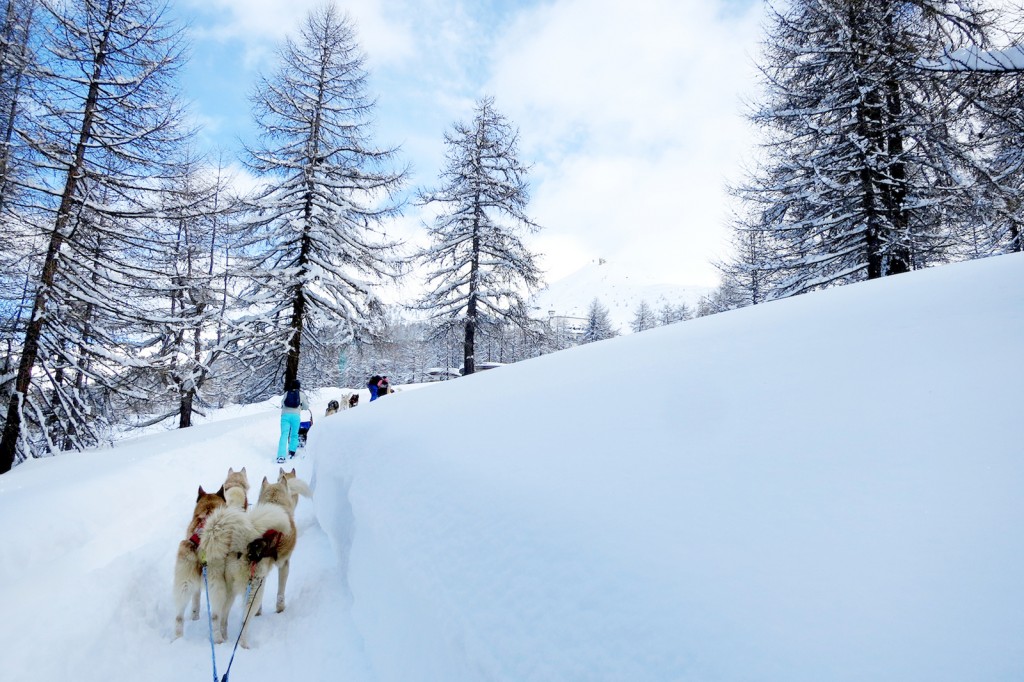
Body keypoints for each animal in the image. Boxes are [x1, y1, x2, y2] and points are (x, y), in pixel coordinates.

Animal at [172, 483, 226, 638]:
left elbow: (195, 602)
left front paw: (195, 617)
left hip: (183, 583)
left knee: (178, 616)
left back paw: (178, 638)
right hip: (217, 585)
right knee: (215, 616)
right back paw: (218, 638)